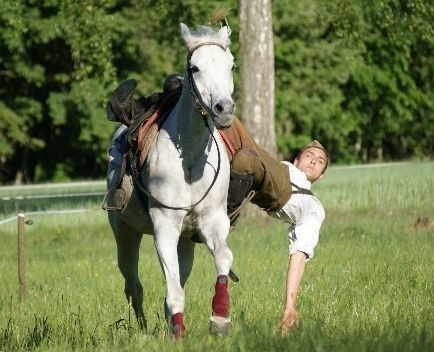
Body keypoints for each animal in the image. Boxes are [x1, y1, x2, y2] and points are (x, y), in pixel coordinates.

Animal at [107, 22, 236, 338]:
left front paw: (220, 319)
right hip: (124, 234)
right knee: (133, 284)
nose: (224, 109)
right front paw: (178, 334)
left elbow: (223, 259)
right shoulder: (164, 226)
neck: (189, 157)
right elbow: (173, 291)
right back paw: (143, 328)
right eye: (195, 68)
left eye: (231, 65)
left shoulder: (213, 221)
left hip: (186, 242)